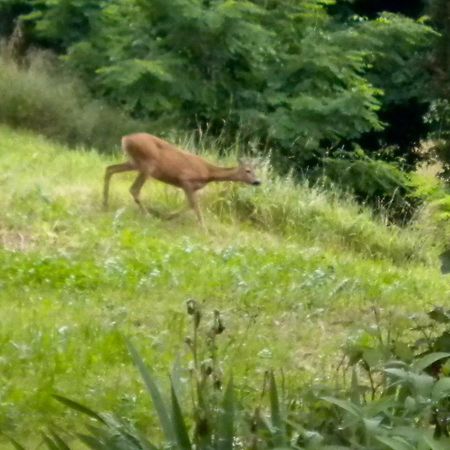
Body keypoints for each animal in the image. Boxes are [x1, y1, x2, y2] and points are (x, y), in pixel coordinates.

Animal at [103, 132, 262, 227]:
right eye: (248, 170)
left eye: (255, 170)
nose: (257, 181)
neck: (208, 173)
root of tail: (125, 138)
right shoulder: (186, 180)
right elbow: (194, 206)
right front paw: (204, 230)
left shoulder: (191, 187)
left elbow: (191, 205)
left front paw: (167, 216)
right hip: (147, 164)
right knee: (134, 189)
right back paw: (147, 215)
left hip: (134, 162)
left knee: (109, 169)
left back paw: (105, 204)